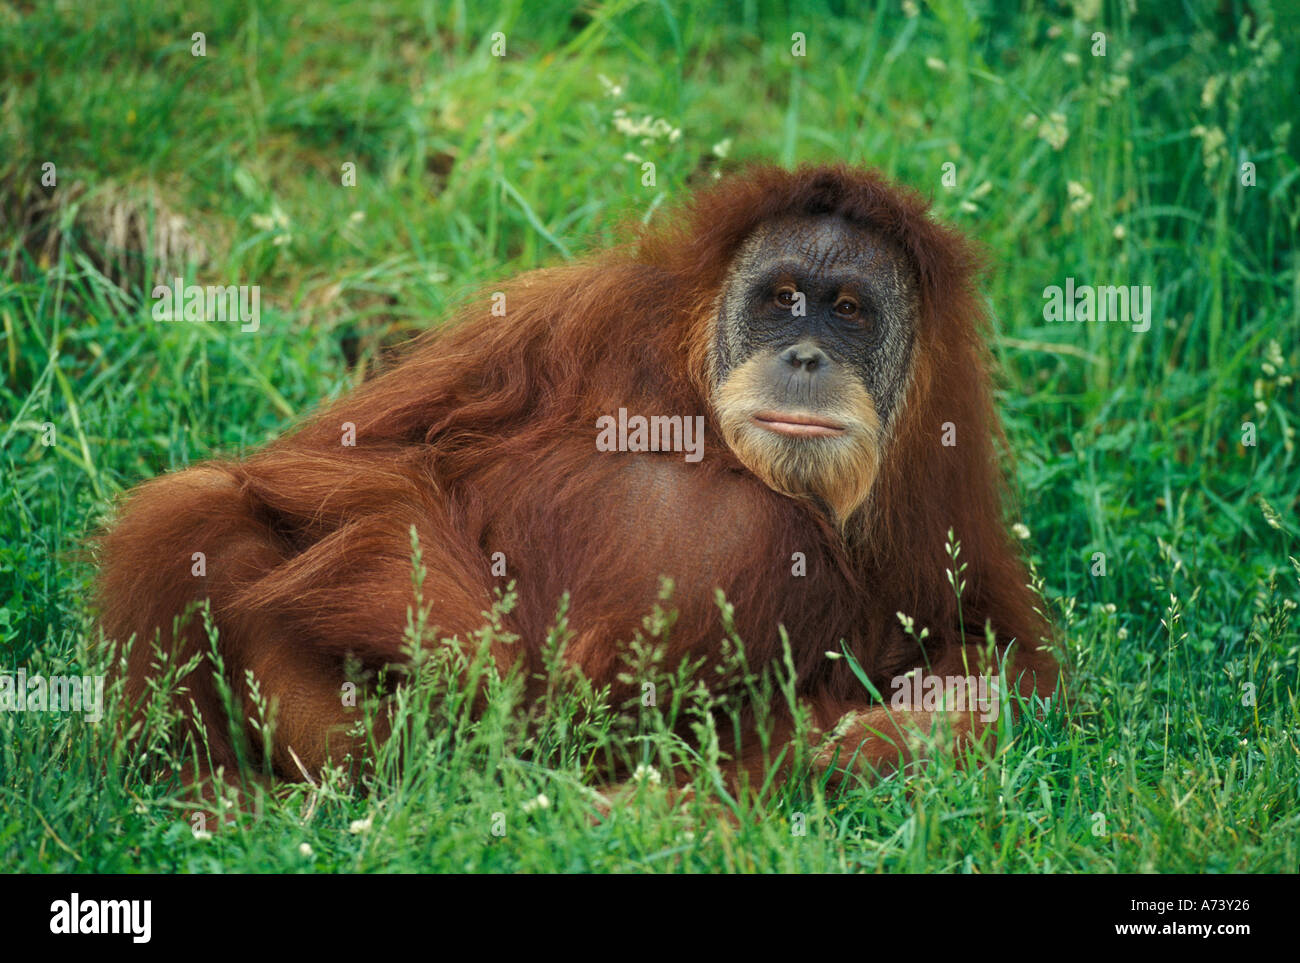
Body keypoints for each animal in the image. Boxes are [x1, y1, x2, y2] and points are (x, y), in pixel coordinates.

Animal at [95, 163, 1058, 794]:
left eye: (850, 309)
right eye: (783, 299)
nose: (807, 356)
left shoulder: (941, 453)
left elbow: (992, 649)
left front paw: (875, 736)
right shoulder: (573, 311)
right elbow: (361, 460)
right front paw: (501, 695)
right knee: (201, 513)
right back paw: (216, 795)